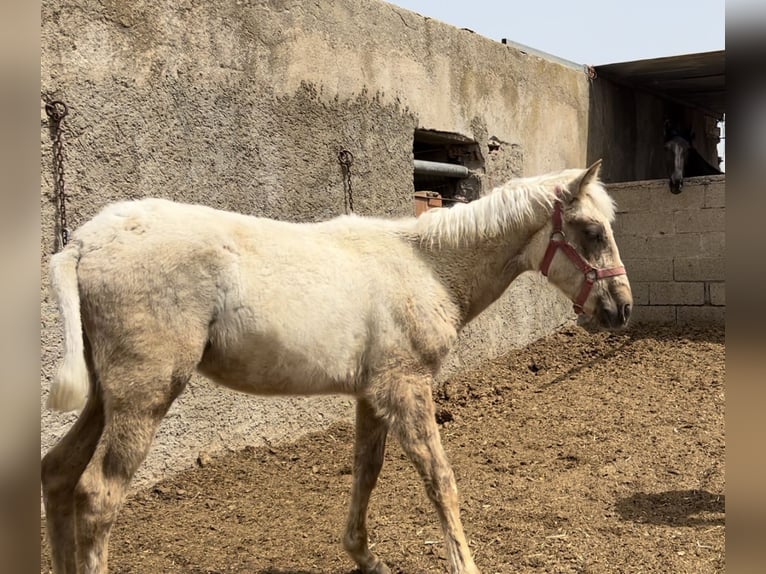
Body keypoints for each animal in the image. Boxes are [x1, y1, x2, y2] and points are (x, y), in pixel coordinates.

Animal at [40, 161, 636, 574]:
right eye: (590, 231)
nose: (622, 309)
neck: (427, 268)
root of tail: (84, 242)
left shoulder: (372, 394)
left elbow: (366, 472)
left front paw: (366, 557)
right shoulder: (406, 388)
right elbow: (440, 481)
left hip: (105, 394)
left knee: (58, 471)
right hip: (146, 394)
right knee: (97, 495)